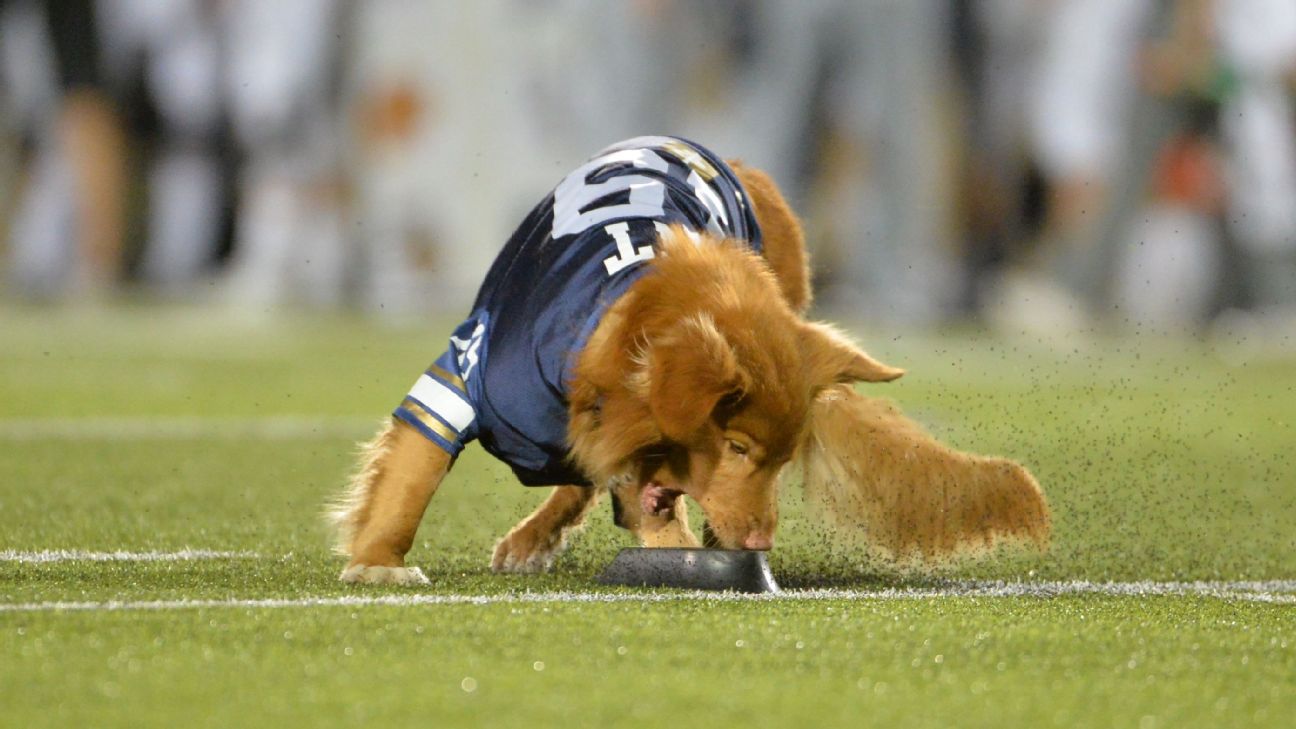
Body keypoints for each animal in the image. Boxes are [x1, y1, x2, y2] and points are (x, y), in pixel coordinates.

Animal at [329, 136, 1047, 581]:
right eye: (736, 447)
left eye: (781, 461)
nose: (757, 543)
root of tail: (738, 162)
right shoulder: (462, 377)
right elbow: (410, 479)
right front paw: (379, 558)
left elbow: (631, 493)